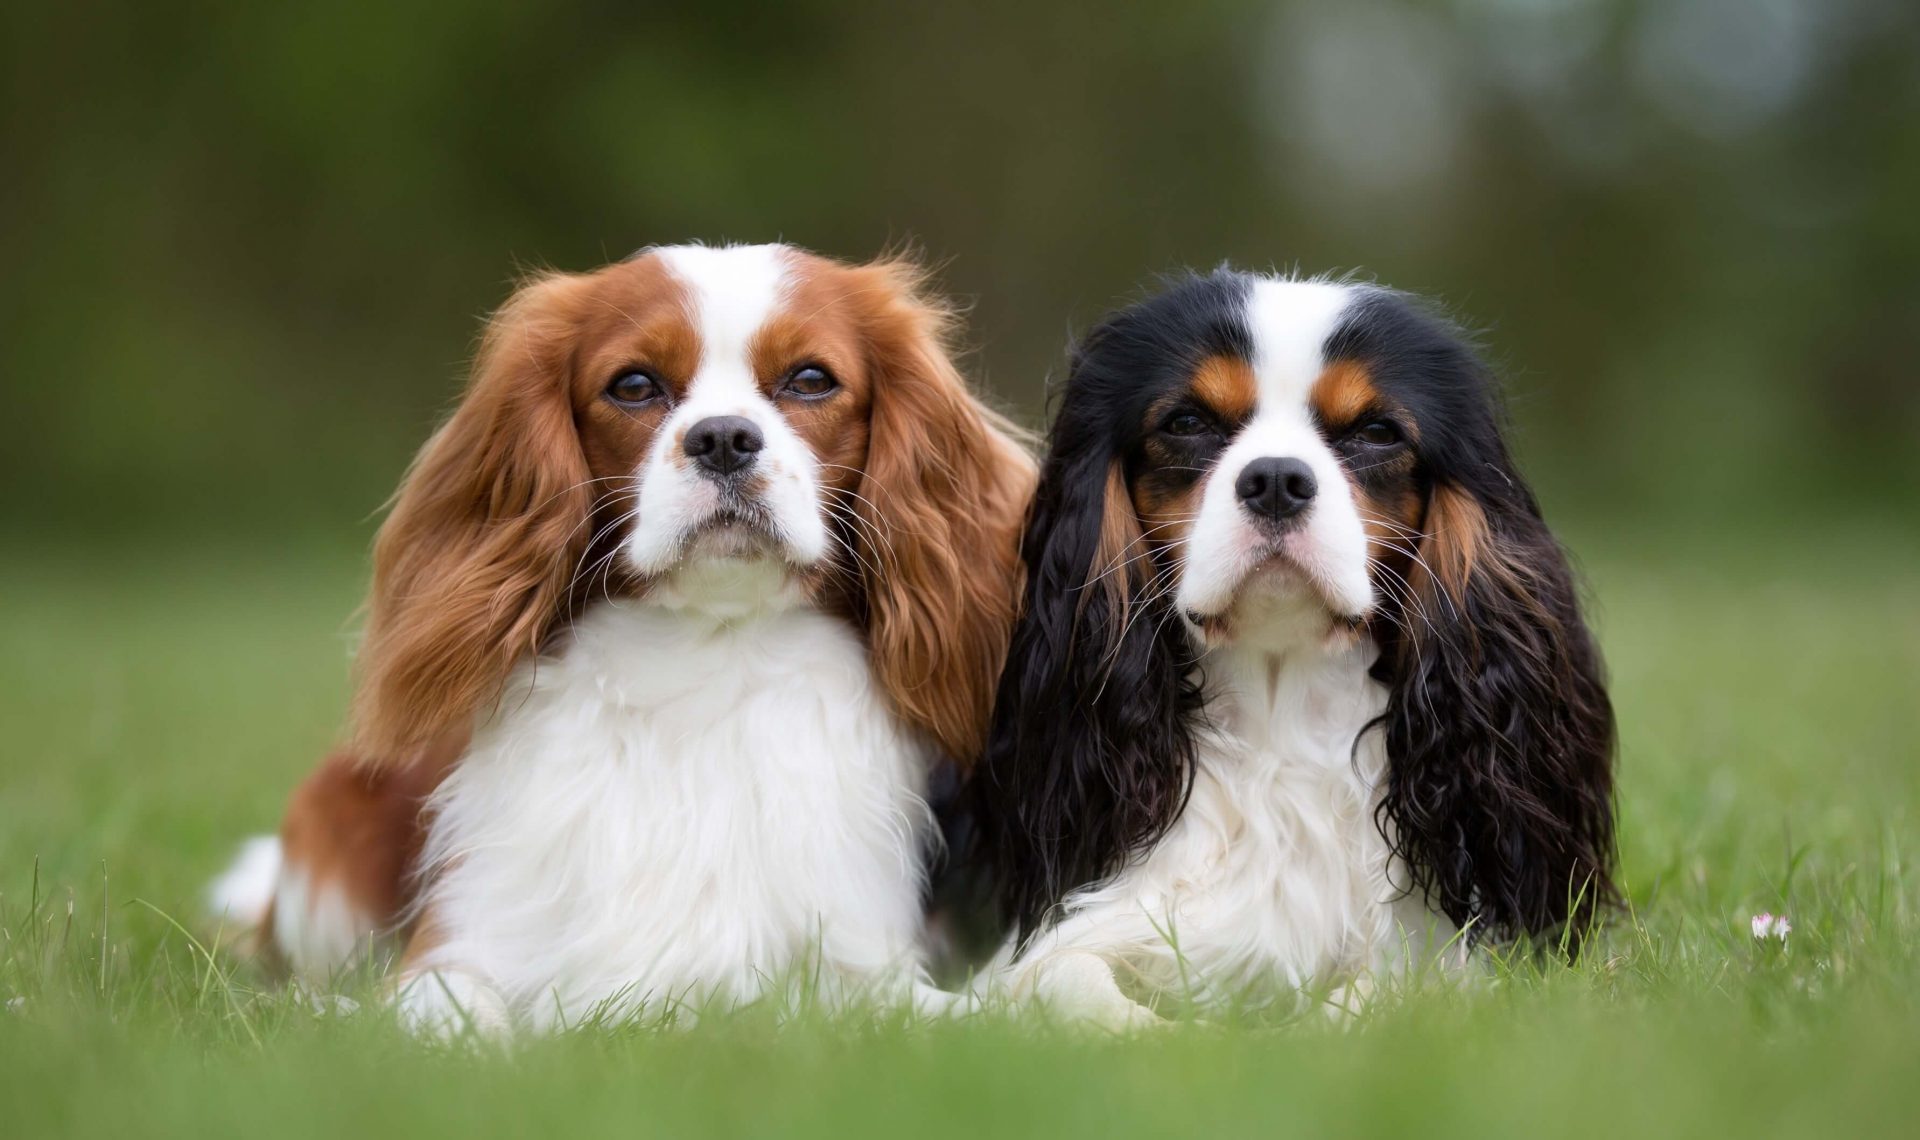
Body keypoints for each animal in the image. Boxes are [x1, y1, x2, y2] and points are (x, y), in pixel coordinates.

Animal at [210, 241, 1036, 1028]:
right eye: (634, 386)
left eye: (810, 380)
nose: (724, 437)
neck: (708, 656)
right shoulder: (455, 949)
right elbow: (446, 1015)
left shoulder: (861, 967)